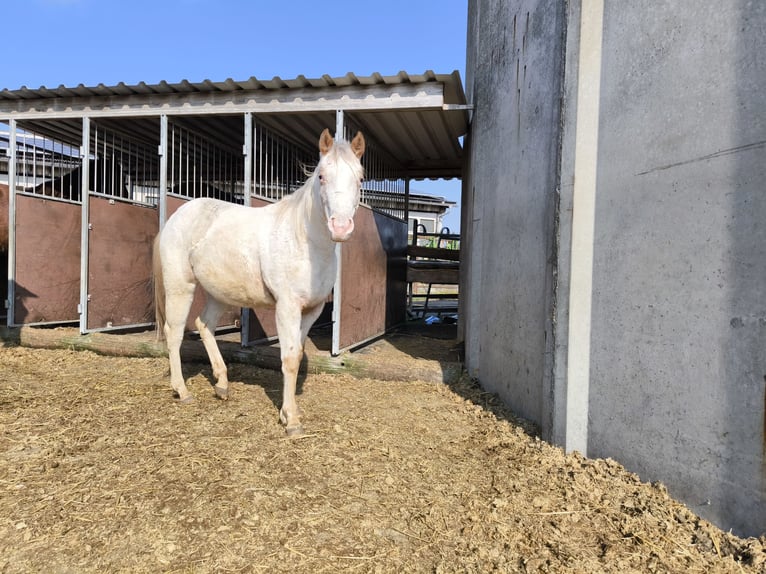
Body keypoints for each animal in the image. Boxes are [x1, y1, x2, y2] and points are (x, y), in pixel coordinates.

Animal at [155, 129, 366, 436]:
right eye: (321, 176)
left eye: (360, 178)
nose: (340, 227)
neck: (304, 240)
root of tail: (175, 217)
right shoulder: (286, 307)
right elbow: (289, 358)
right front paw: (291, 421)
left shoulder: (311, 311)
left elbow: (298, 355)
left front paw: (288, 412)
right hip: (180, 286)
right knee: (175, 332)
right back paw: (182, 391)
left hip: (218, 294)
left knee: (204, 325)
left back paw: (222, 385)